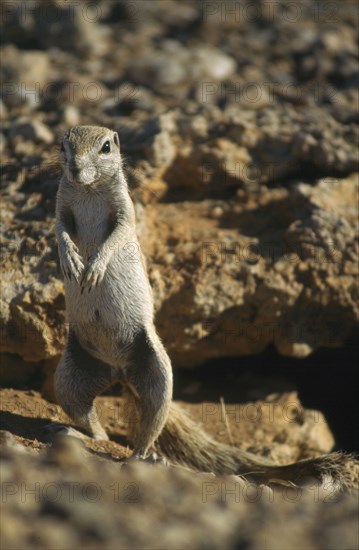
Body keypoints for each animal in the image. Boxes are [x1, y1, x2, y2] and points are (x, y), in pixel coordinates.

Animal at [52, 126, 358, 492]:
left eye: (106, 147)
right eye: (63, 145)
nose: (74, 168)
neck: (88, 190)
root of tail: (119, 370)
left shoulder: (125, 209)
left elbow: (118, 235)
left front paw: (95, 265)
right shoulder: (62, 206)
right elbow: (60, 229)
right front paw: (70, 258)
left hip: (157, 373)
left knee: (148, 426)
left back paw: (143, 457)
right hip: (70, 378)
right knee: (88, 416)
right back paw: (82, 434)